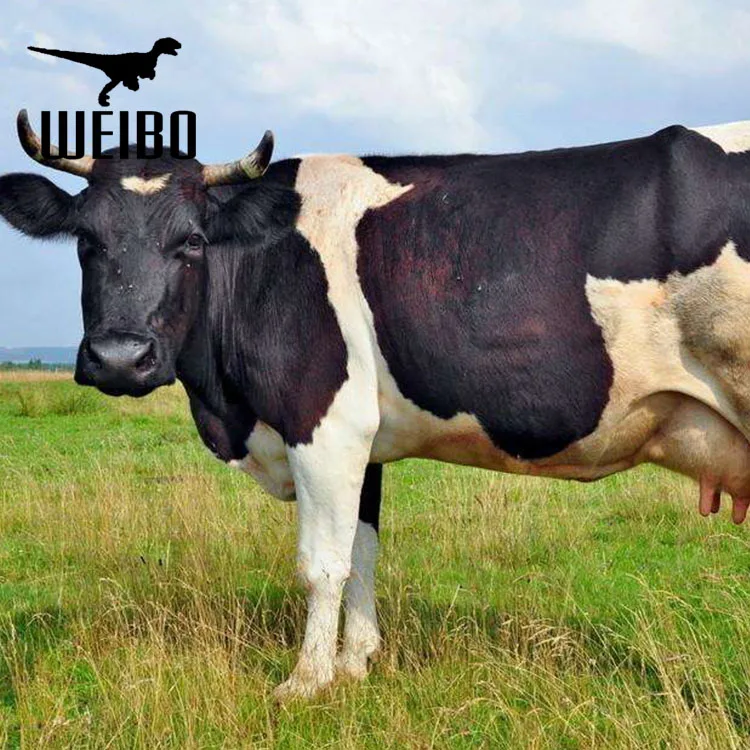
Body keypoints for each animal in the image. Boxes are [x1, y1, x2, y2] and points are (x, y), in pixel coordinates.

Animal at [2, 110, 750, 699]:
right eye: (85, 240)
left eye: (191, 240)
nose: (119, 358)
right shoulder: (365, 439)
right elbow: (363, 550)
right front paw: (356, 662)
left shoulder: (323, 421)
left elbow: (321, 562)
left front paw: (305, 682)